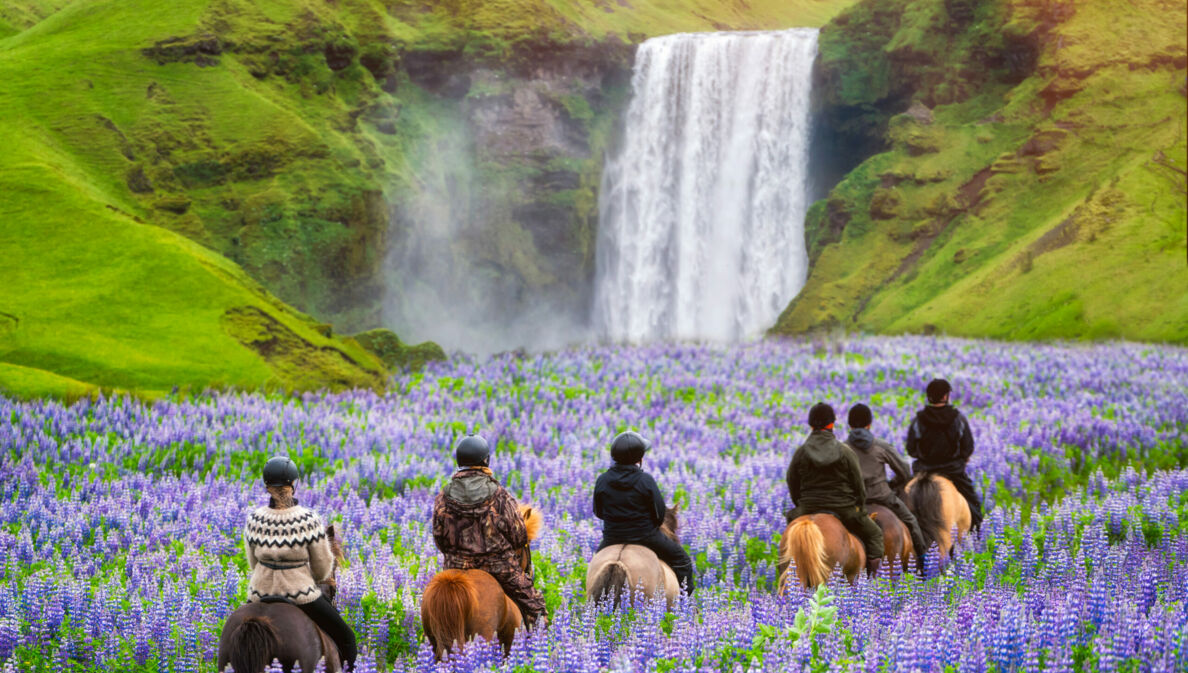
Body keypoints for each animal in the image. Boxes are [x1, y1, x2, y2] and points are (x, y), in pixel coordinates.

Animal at [422, 508, 544, 661]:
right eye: (527, 543)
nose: (530, 571)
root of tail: (453, 582)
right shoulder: (509, 642)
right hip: (483, 635)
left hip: (433, 639)